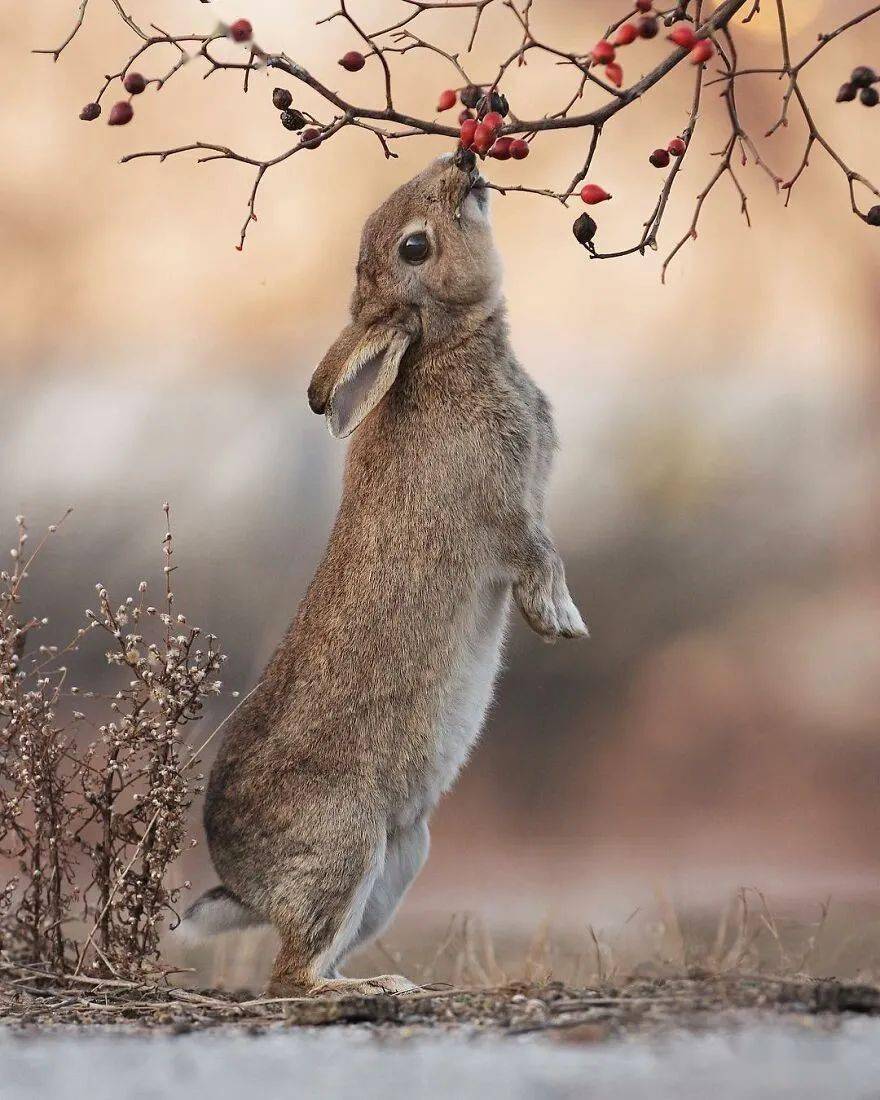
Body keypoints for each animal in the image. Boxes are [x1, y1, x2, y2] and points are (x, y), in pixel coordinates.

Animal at [180, 155, 585, 998]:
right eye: (415, 247)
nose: (462, 163)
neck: (443, 344)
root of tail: (242, 884)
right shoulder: (506, 512)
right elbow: (540, 555)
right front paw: (560, 622)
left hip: (402, 858)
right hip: (348, 847)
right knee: (290, 977)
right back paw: (374, 990)